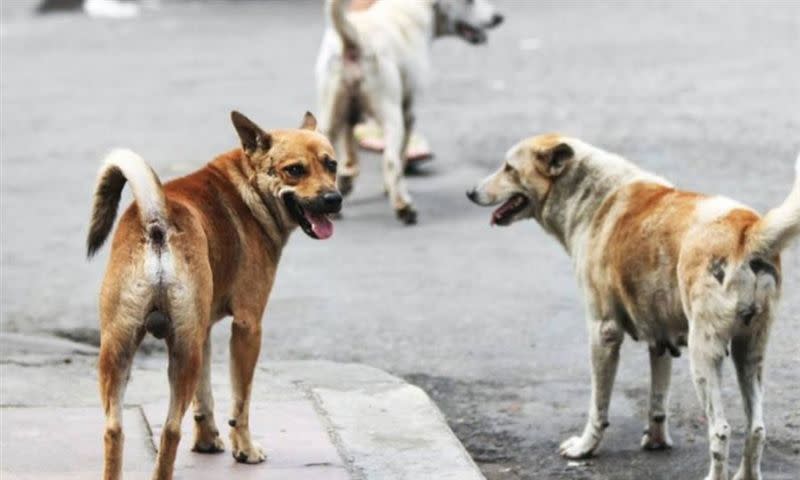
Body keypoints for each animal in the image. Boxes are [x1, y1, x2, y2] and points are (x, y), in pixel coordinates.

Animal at [86, 110, 340, 478]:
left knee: (114, 429)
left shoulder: (202, 330)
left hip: (121, 348)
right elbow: (240, 401)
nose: (334, 200)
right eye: (295, 170)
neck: (247, 187)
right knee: (170, 431)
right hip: (181, 351)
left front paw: (207, 441)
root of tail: (156, 221)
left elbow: (204, 396)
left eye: (332, 165)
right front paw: (245, 450)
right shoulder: (248, 327)